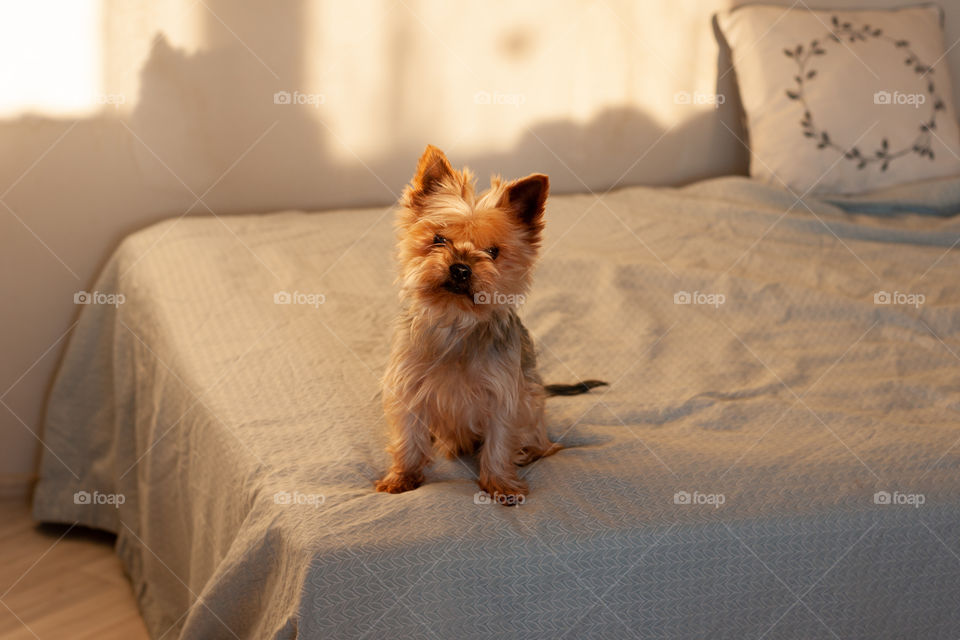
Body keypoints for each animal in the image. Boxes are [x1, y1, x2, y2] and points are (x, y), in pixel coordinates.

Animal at [376, 146, 608, 504]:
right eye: (439, 239)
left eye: (493, 251)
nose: (460, 268)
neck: (457, 321)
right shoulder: (408, 389)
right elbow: (408, 438)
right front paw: (402, 477)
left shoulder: (503, 396)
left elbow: (499, 443)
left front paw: (500, 484)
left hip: (531, 398)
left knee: (537, 435)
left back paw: (533, 450)